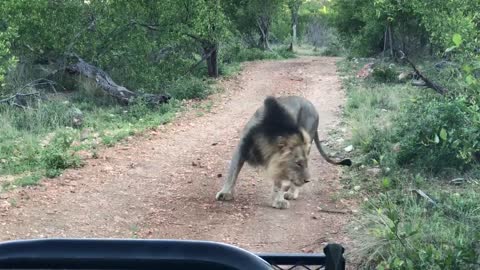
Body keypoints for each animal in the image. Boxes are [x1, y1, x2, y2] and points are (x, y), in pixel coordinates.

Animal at [216, 96, 350, 210]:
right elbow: (232, 172)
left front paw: (278, 201)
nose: (308, 180)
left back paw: (291, 193)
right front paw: (225, 193)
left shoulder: (279, 162)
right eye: (298, 163)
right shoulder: (241, 148)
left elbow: (279, 181)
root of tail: (311, 105)